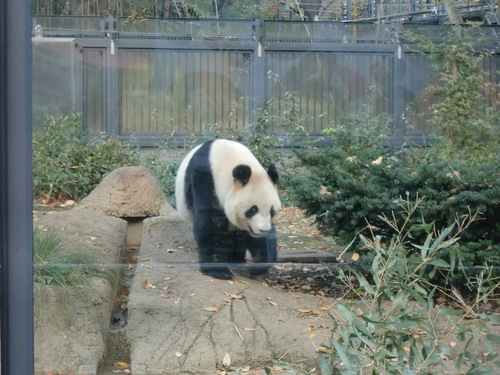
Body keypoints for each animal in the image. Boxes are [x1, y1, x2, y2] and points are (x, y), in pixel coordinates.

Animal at [175, 140, 282, 280]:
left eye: (271, 211)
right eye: (253, 209)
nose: (262, 230)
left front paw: (257, 266)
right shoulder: (204, 178)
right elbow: (209, 223)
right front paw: (219, 271)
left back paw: (237, 260)